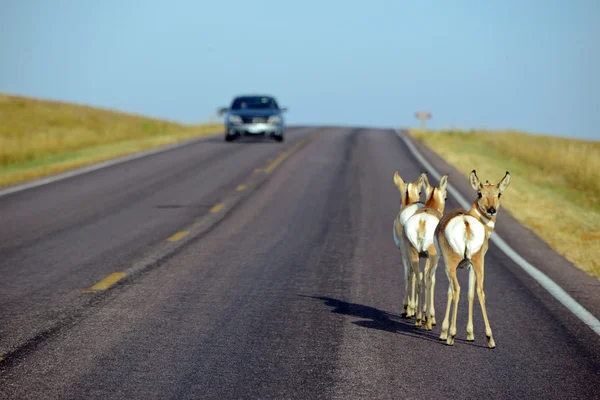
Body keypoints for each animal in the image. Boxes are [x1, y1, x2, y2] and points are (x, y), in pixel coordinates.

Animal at [400, 173, 448, 330]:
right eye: (446, 197)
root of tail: (423, 221)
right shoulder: (434, 260)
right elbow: (432, 281)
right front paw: (432, 317)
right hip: (431, 258)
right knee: (427, 280)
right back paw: (426, 320)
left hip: (414, 256)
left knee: (419, 280)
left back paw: (418, 318)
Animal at [434, 170, 508, 348]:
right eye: (480, 193)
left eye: (499, 193)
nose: (491, 210)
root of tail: (465, 222)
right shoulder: (471, 268)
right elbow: (471, 294)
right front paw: (470, 334)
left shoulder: (450, 266)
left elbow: (450, 292)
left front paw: (444, 332)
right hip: (478, 264)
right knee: (480, 292)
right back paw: (490, 338)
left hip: (451, 266)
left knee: (456, 290)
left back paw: (451, 335)